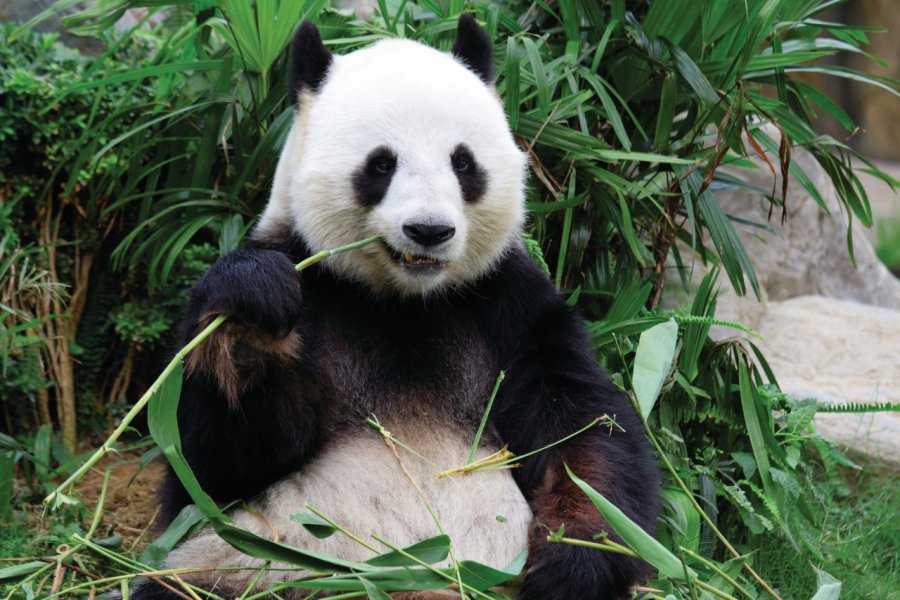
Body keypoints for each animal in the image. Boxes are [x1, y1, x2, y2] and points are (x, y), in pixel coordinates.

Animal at [144, 14, 656, 600]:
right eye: (381, 164)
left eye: (463, 162)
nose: (428, 230)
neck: (404, 301)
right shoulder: (312, 280)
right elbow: (208, 468)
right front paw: (252, 318)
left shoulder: (508, 304)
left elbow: (583, 429)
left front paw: (573, 560)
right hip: (254, 568)